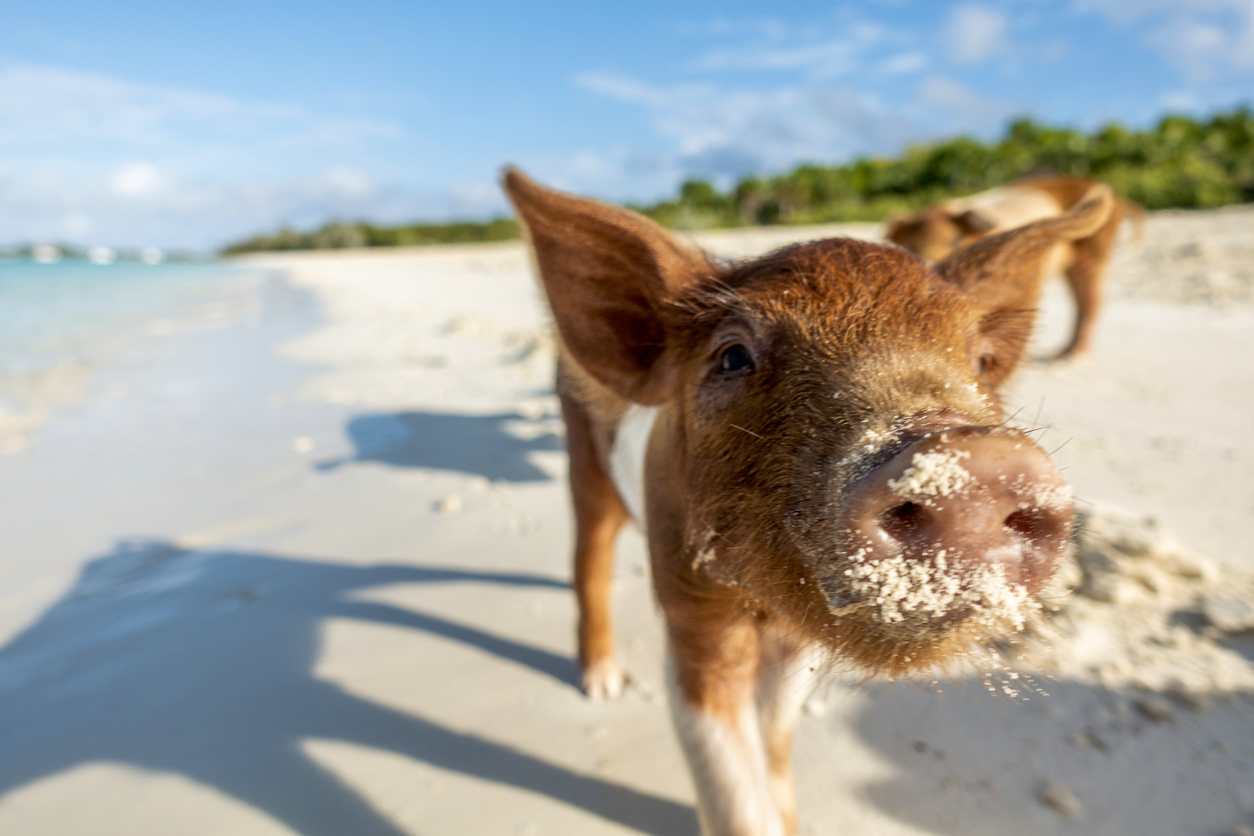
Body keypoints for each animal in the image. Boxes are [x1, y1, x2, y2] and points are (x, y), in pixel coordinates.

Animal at [502, 168, 1113, 836]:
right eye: (733, 356)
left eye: (979, 361)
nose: (978, 458)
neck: (763, 608)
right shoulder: (691, 604)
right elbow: (730, 783)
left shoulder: (799, 640)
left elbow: (774, 738)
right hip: (582, 454)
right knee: (589, 556)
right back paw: (603, 684)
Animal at [885, 175, 1142, 359]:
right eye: (910, 247)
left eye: (954, 241)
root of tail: (1116, 196)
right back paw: (1063, 352)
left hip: (1095, 249)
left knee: (1091, 299)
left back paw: (1071, 358)